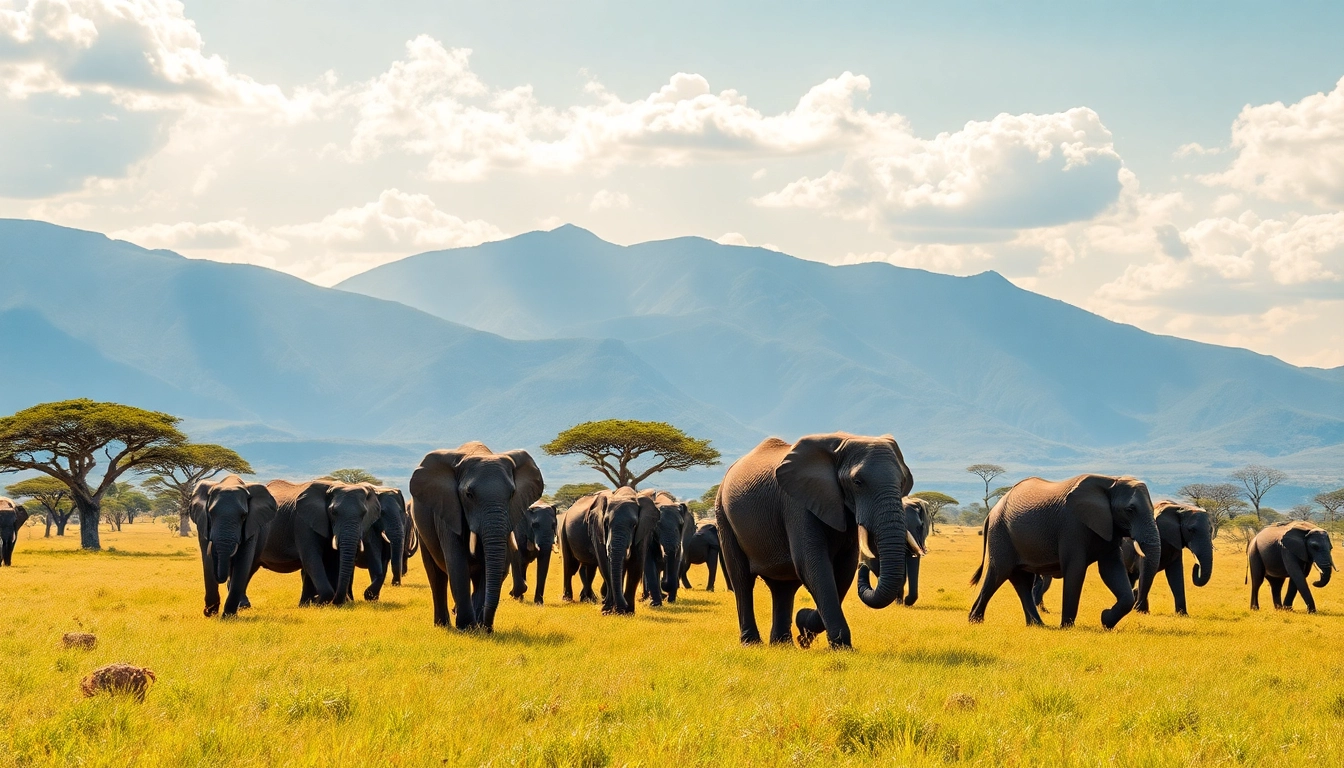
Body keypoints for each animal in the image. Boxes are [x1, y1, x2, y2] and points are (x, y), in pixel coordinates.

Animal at [189, 476, 277, 616]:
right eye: (211, 513)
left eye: (244, 516)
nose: (207, 611)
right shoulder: (202, 524)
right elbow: (207, 560)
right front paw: (211, 614)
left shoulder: (251, 527)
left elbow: (242, 562)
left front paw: (228, 616)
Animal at [409, 442, 544, 630]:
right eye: (469, 495)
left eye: (512, 494)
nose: (487, 627)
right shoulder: (449, 509)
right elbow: (457, 564)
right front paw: (468, 627)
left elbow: (490, 568)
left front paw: (478, 628)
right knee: (436, 575)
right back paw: (443, 625)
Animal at [717, 433, 915, 649]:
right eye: (857, 482)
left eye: (903, 481)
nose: (865, 568)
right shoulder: (796, 503)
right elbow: (812, 565)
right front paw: (840, 646)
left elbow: (844, 569)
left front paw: (804, 628)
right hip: (723, 514)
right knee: (742, 579)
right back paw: (752, 643)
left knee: (783, 587)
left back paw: (783, 645)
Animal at [968, 474, 1161, 629]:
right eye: (1130, 510)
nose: (1140, 608)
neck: (1110, 482)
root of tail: (991, 513)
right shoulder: (1072, 526)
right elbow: (1075, 569)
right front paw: (1067, 627)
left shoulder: (1109, 527)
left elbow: (1111, 569)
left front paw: (1105, 619)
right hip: (1000, 533)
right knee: (998, 573)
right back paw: (975, 621)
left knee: (1021, 580)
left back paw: (1037, 625)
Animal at [1033, 500, 1214, 616]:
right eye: (1191, 530)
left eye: (1211, 530)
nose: (1196, 566)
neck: (1180, 507)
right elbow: (1149, 572)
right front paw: (1140, 611)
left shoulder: (1175, 542)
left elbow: (1175, 575)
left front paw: (1182, 615)